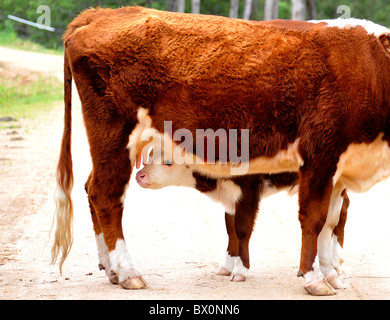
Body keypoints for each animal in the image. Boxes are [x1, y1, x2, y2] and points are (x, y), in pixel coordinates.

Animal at [53, 5, 390, 296]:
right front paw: (314, 278)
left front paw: (332, 275)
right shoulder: (320, 154)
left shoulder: (340, 168)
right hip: (114, 134)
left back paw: (110, 269)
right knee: (105, 195)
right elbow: (314, 218)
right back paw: (127, 272)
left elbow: (330, 222)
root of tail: (101, 14)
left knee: (91, 189)